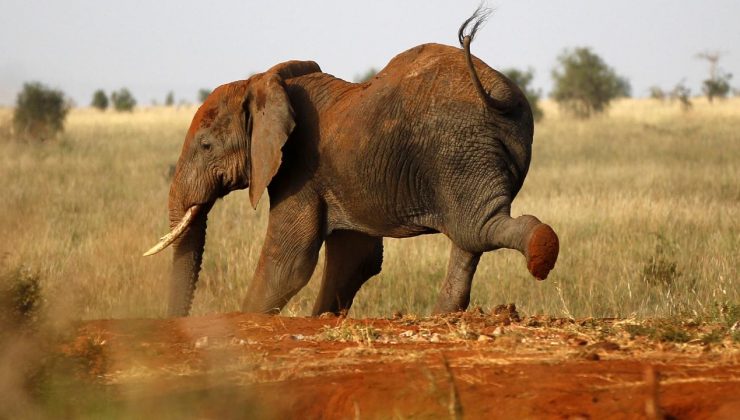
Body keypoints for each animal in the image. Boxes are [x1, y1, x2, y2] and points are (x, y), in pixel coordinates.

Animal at [145, 9, 556, 318]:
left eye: (206, 145)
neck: (261, 82)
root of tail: (499, 91)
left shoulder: (300, 168)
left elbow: (288, 263)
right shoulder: (337, 176)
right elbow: (356, 258)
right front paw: (323, 319)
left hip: (459, 150)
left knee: (476, 228)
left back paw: (541, 252)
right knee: (469, 236)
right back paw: (443, 315)